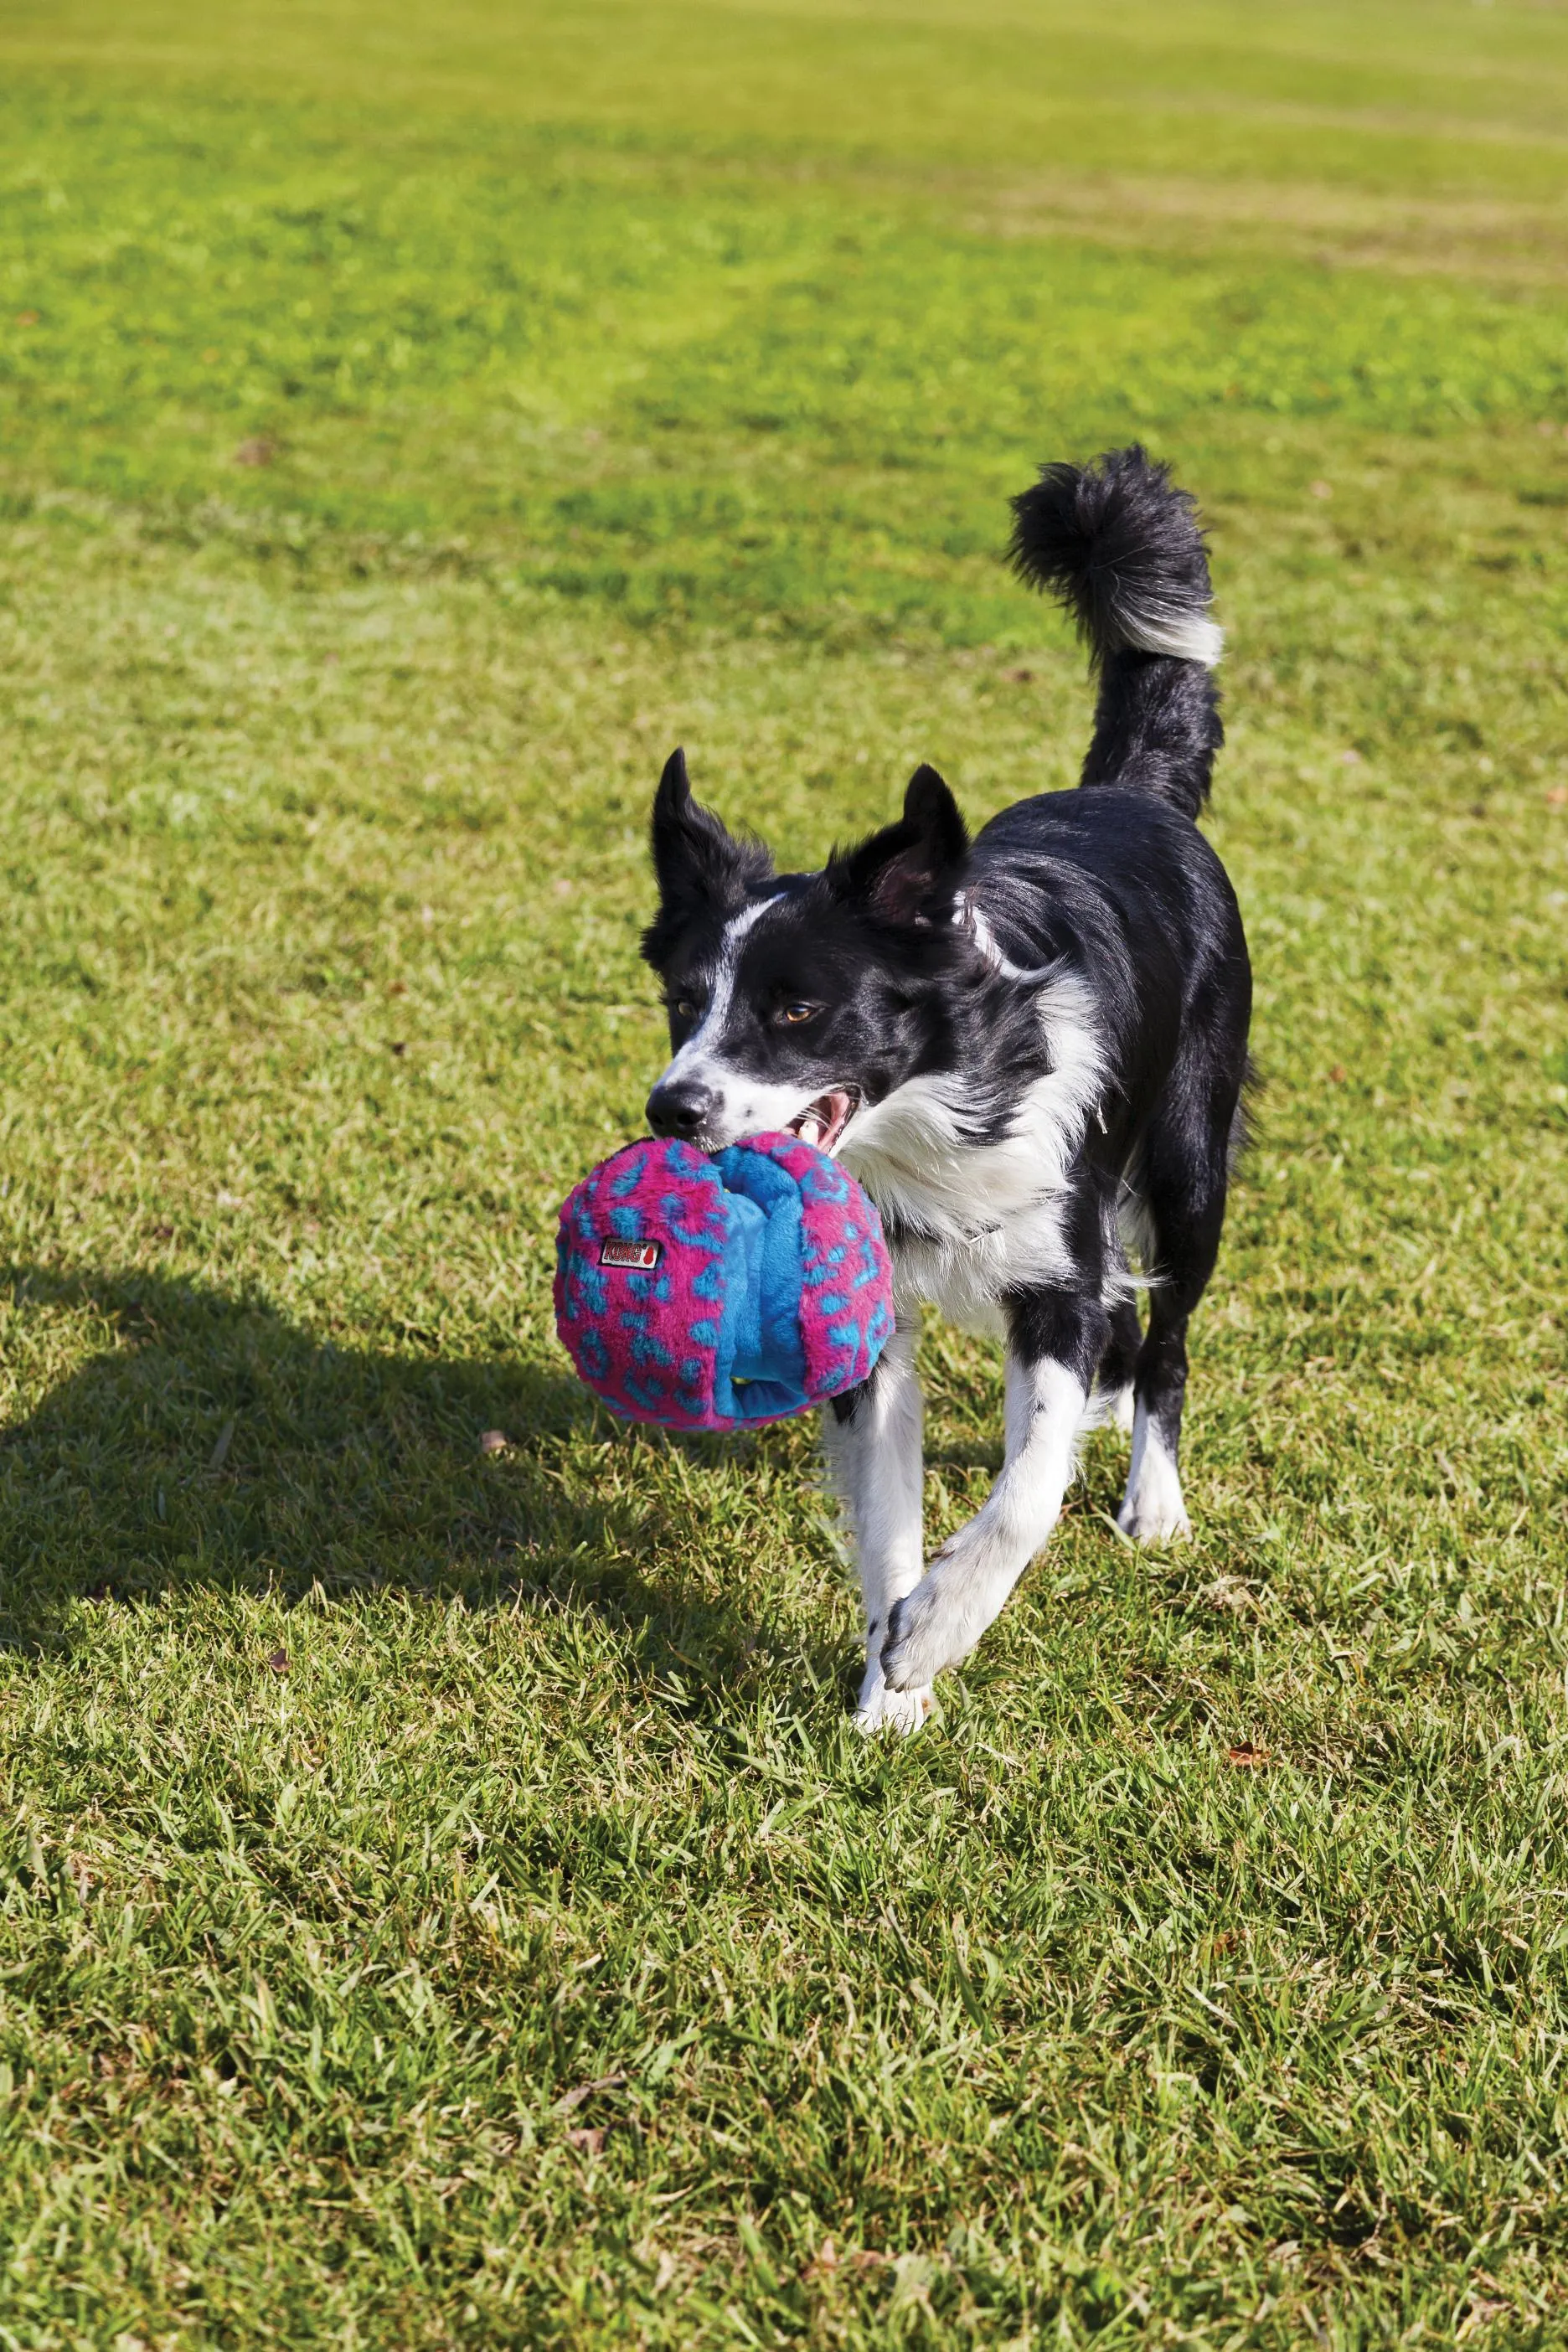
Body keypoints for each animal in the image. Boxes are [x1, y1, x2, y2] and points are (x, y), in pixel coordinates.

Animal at [639, 449, 1251, 1730]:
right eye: (683, 998)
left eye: (798, 1010)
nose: (673, 1110)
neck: (935, 1112)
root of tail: (1135, 796)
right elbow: (890, 1514)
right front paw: (889, 1690)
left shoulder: (1056, 1268)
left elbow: (1027, 1488)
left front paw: (937, 1634)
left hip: (1188, 1163)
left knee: (1166, 1332)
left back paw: (1153, 1497)